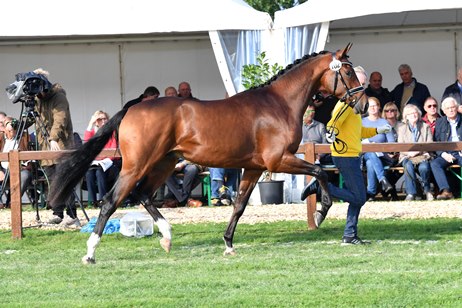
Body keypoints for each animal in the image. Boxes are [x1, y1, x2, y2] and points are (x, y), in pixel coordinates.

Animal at [49, 42, 368, 264]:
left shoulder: (254, 168)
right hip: (136, 165)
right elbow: (319, 171)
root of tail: (132, 108)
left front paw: (228, 244)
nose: (363, 105)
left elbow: (239, 204)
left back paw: (167, 238)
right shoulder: (278, 160)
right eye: (347, 71)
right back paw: (90, 253)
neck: (278, 104)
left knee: (143, 195)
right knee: (110, 202)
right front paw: (322, 210)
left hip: (164, 163)